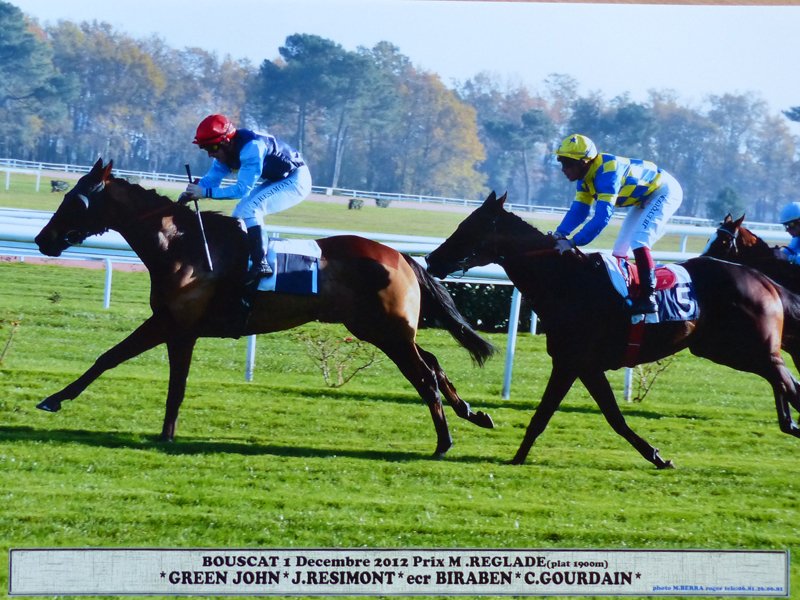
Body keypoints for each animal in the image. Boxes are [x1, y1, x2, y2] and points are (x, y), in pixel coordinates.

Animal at [33, 159, 496, 457]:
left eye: (75, 200)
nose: (42, 240)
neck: (181, 246)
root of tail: (401, 256)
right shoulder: (174, 325)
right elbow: (116, 360)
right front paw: (57, 399)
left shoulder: (175, 324)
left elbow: (149, 372)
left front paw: (163, 433)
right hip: (387, 331)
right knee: (433, 363)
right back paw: (473, 414)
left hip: (385, 331)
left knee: (424, 375)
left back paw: (444, 441)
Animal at [425, 191, 800, 468]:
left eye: (468, 227)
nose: (431, 260)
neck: (567, 283)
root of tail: (763, 279)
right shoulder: (583, 366)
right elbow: (611, 417)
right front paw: (656, 456)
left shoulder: (572, 363)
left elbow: (549, 414)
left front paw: (516, 457)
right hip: (723, 349)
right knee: (784, 380)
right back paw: (791, 424)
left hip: (747, 349)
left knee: (785, 379)